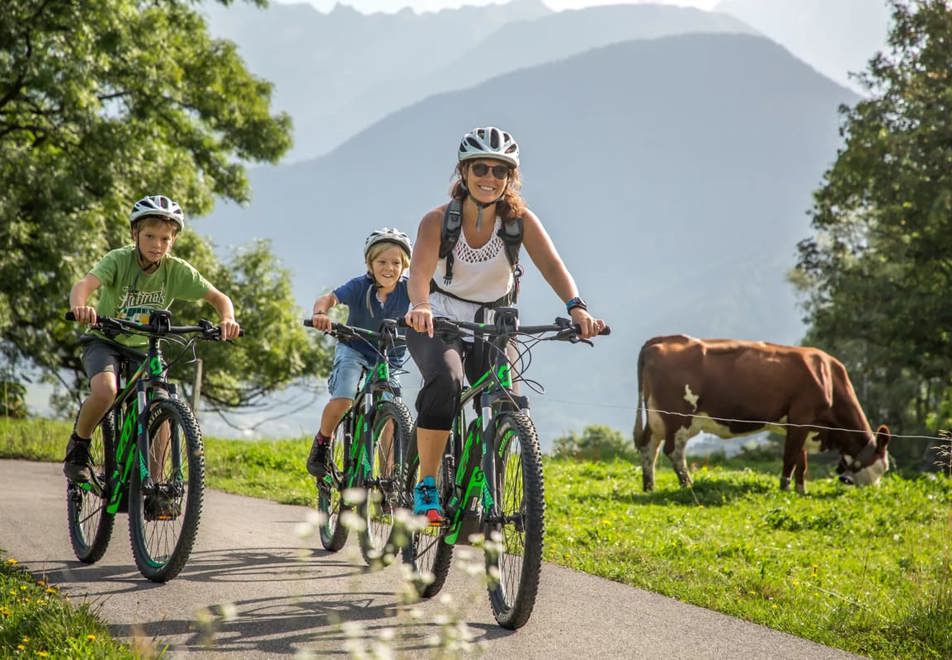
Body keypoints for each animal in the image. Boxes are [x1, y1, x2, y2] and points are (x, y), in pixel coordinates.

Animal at [632, 338, 892, 492]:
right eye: (881, 468)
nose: (874, 492)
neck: (827, 376)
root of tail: (662, 340)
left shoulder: (800, 425)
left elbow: (802, 461)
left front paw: (801, 490)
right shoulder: (801, 417)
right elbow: (790, 457)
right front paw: (785, 488)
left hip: (656, 417)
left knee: (649, 447)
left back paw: (649, 485)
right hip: (678, 417)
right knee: (673, 451)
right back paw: (687, 485)